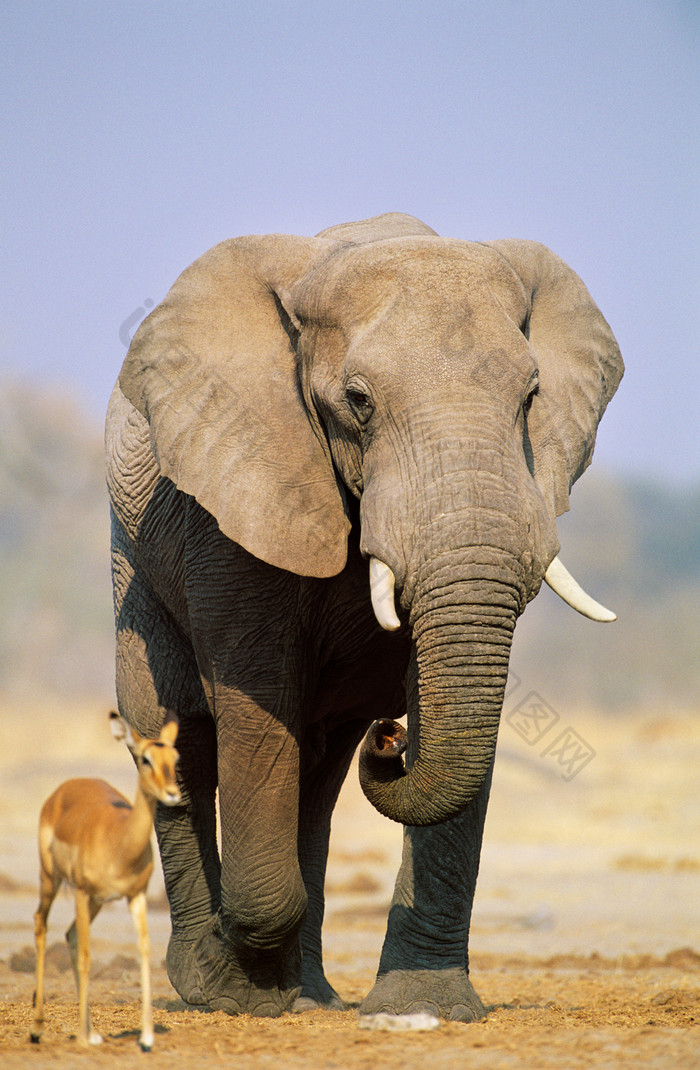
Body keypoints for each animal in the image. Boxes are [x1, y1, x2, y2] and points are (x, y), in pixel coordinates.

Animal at [105, 208, 625, 1018]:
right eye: (358, 401)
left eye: (531, 397)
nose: (393, 739)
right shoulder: (238, 496)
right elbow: (256, 699)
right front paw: (245, 992)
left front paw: (422, 1006)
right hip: (134, 560)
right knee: (177, 735)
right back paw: (216, 987)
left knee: (318, 776)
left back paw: (312, 995)